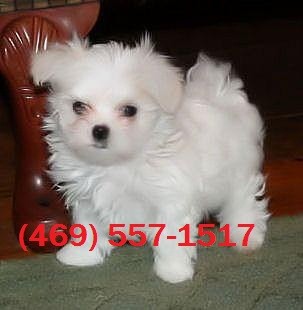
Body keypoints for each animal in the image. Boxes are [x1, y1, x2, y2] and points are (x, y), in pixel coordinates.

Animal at [31, 35, 270, 284]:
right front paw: (79, 255)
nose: (99, 130)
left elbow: (170, 238)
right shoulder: (87, 199)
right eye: (78, 106)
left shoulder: (170, 199)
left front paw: (174, 271)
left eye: (129, 110)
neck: (117, 163)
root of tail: (223, 98)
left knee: (243, 201)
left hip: (239, 172)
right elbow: (87, 227)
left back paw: (246, 236)